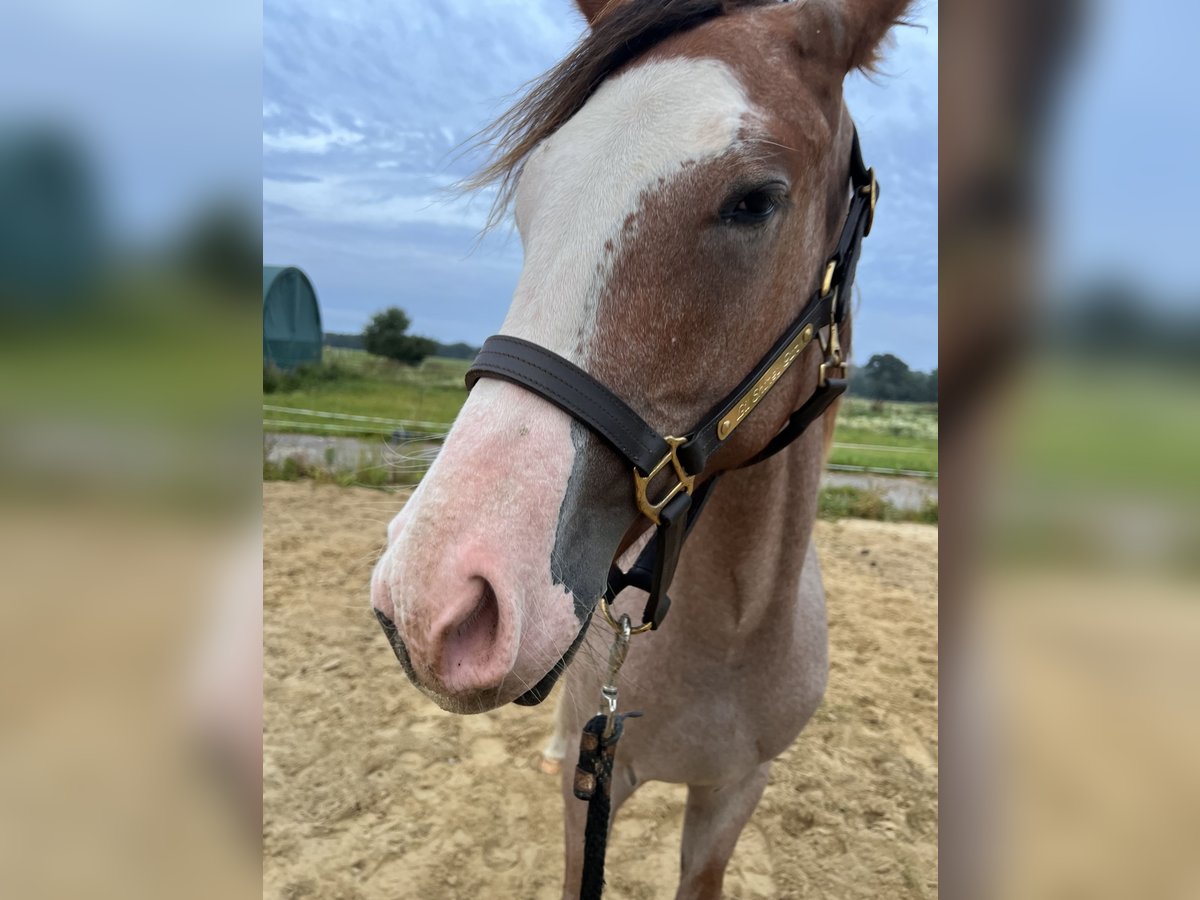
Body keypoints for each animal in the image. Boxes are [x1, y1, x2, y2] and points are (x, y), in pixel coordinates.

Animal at [370, 1, 912, 896]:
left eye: (755, 201)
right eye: (536, 192)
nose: (427, 602)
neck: (731, 636)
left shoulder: (735, 790)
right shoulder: (595, 783)